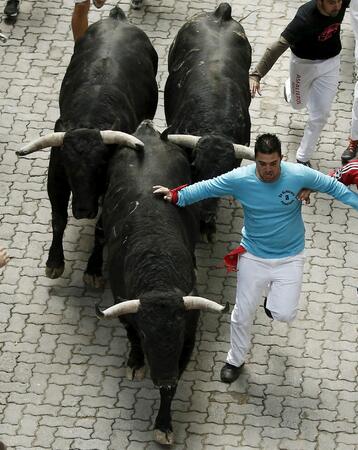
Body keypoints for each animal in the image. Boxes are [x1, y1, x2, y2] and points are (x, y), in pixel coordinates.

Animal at [15, 6, 158, 284]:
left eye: (101, 166)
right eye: (69, 167)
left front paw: (93, 269)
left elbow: (101, 228)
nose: (82, 210)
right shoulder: (56, 179)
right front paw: (54, 262)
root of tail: (117, 18)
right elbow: (58, 219)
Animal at [96, 120, 228, 446]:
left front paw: (164, 424)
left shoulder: (189, 338)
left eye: (177, 334)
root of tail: (148, 132)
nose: (163, 375)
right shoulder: (126, 311)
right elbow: (130, 336)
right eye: (146, 335)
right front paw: (135, 362)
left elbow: (173, 387)